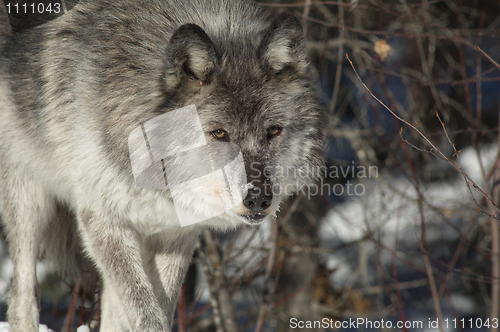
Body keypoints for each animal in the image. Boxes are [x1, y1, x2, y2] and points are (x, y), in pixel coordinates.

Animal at [0, 0, 324, 330]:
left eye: (273, 131)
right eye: (219, 133)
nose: (258, 199)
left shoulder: (175, 234)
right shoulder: (105, 222)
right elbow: (146, 313)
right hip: (28, 203)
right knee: (21, 296)